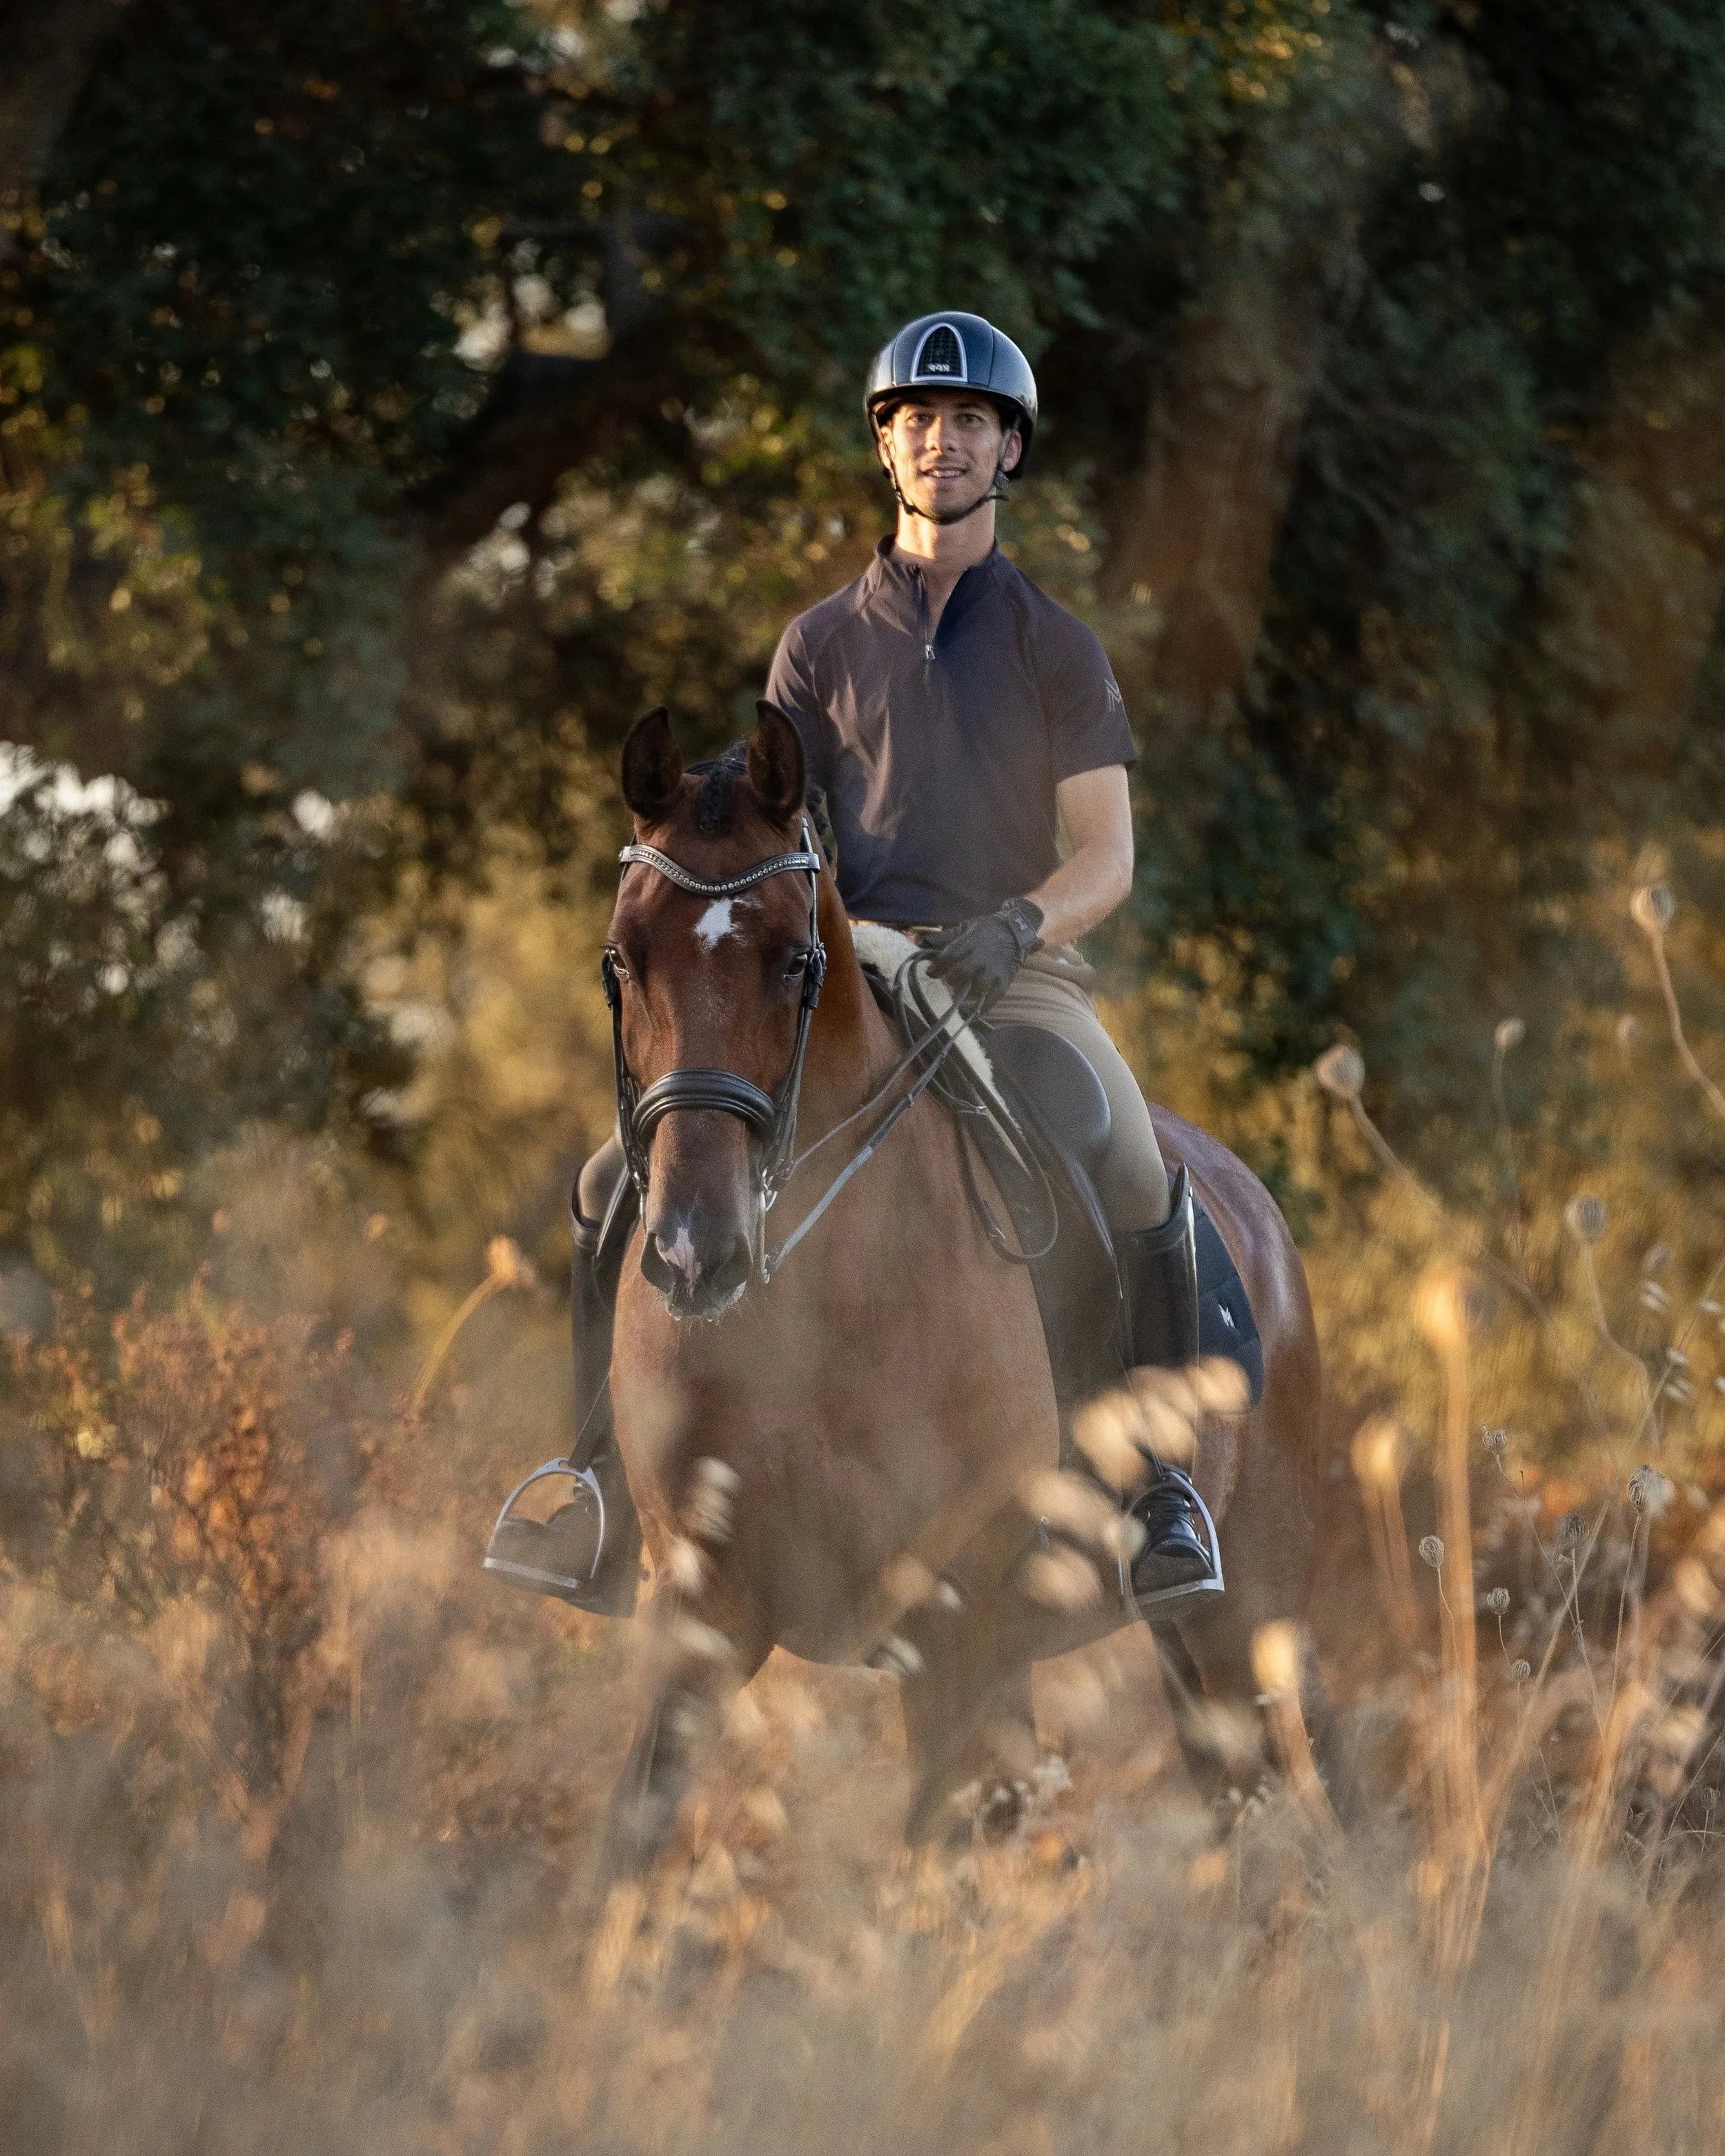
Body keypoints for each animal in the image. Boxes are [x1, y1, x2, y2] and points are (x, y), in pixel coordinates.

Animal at [598, 702, 1330, 1873]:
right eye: (623, 959)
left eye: (795, 963)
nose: (693, 1251)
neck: (819, 1302)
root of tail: (1253, 1208)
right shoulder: (706, 1603)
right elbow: (632, 1831)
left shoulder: (956, 1622)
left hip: (1235, 1618)